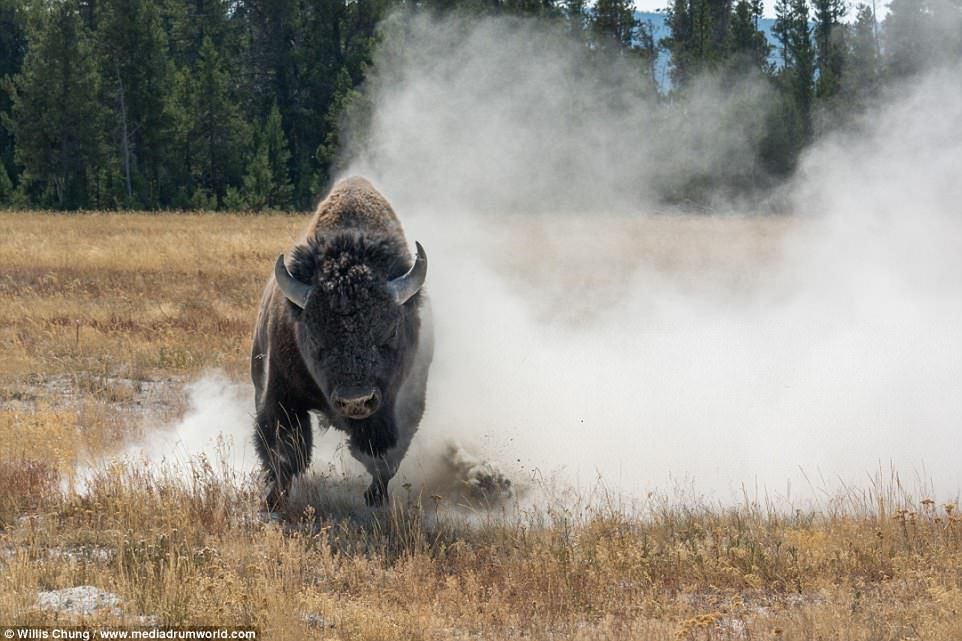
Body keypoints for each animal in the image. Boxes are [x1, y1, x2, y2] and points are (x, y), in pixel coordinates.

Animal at [248, 178, 432, 508]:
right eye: (315, 337)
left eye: (389, 333)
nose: (355, 401)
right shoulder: (281, 394)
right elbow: (286, 452)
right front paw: (272, 500)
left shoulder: (402, 401)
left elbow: (387, 456)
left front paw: (374, 497)